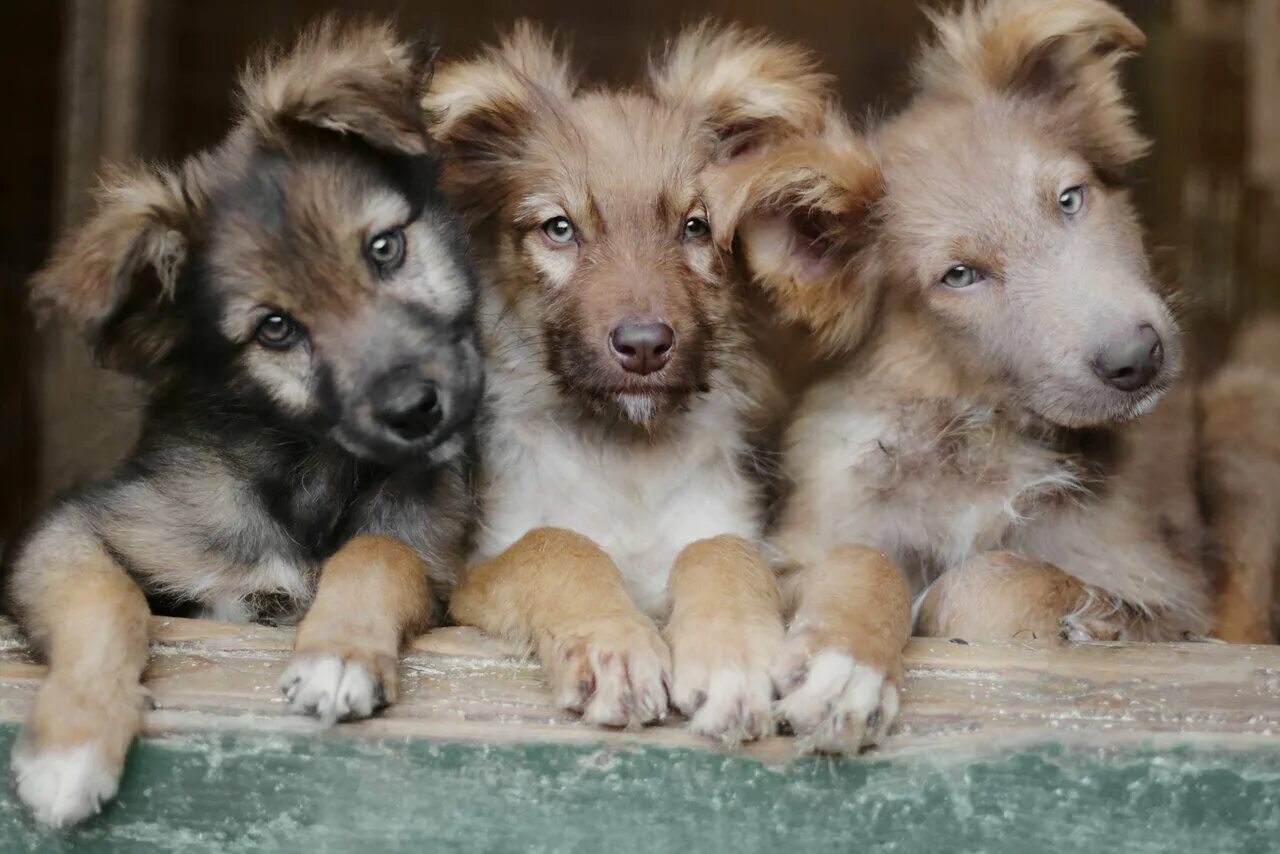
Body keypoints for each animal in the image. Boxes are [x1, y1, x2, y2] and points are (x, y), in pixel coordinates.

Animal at [2, 21, 481, 829]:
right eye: (275, 329)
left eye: (385, 248)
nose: (420, 409)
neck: (311, 472)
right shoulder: (74, 528)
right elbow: (106, 602)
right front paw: (72, 744)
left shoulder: (433, 558)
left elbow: (379, 551)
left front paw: (338, 653)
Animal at [427, 20, 829, 742]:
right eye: (560, 228)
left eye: (696, 227)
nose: (644, 346)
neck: (625, 458)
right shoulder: (476, 572)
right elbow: (556, 544)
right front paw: (611, 646)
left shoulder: (722, 517)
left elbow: (722, 549)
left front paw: (734, 654)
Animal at [721, 0, 1208, 752]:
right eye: (959, 276)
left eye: (1070, 199)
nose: (1137, 358)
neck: (976, 429)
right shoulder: (811, 536)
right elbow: (862, 560)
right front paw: (845, 666)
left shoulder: (1176, 603)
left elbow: (991, 581)